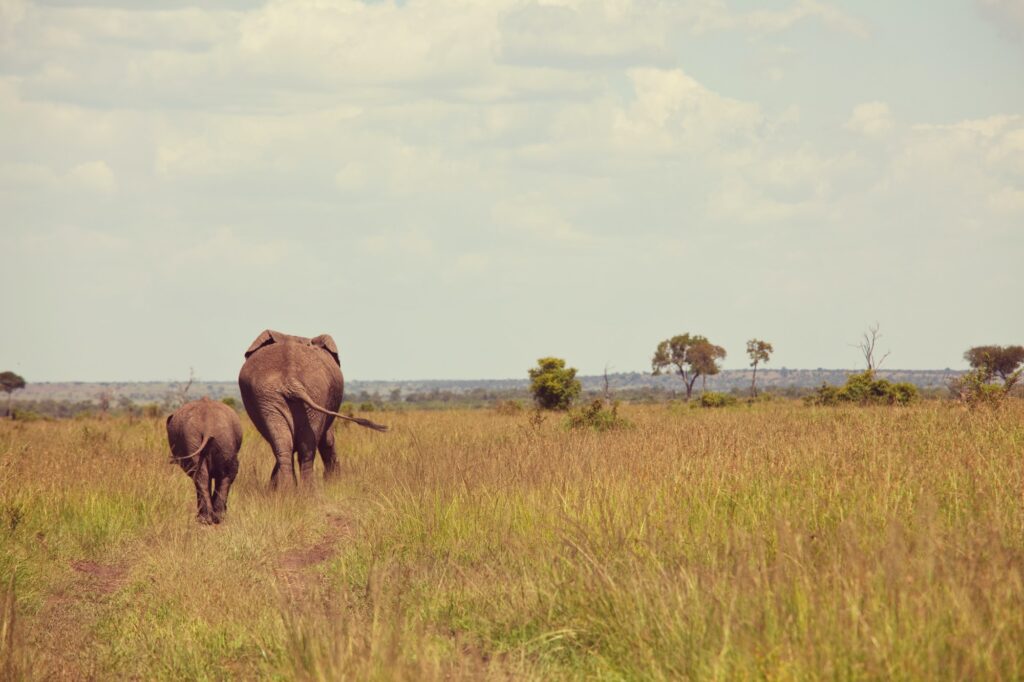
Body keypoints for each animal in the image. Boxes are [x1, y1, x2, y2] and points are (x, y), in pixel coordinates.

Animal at [237, 327, 385, 483]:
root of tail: (291, 380)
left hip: (292, 395)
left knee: (293, 446)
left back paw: (293, 489)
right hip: (278, 396)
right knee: (299, 448)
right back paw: (296, 489)